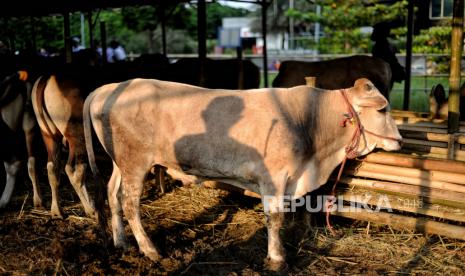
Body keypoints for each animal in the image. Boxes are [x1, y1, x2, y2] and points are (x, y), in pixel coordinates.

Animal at [84, 77, 402, 270]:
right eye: (383, 109)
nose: (400, 140)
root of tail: (112, 86)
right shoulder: (274, 178)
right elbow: (275, 220)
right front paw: (276, 259)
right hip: (136, 163)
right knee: (130, 205)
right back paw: (149, 250)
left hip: (120, 164)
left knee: (113, 196)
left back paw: (122, 242)